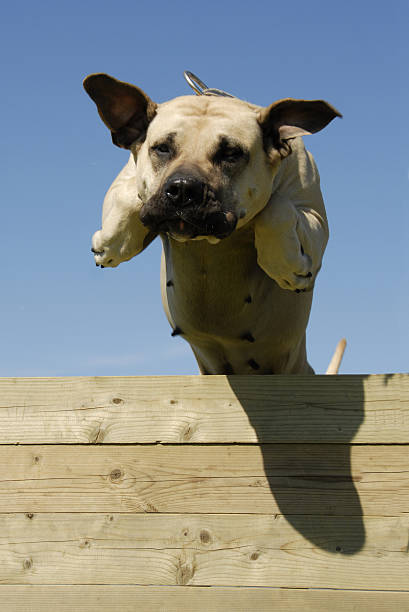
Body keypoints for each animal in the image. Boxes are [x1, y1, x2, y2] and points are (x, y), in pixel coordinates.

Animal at [83, 74, 342, 376]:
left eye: (231, 153)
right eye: (162, 148)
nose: (183, 189)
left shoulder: (314, 219)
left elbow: (274, 206)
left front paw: (285, 266)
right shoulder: (128, 183)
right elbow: (130, 197)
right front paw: (111, 245)